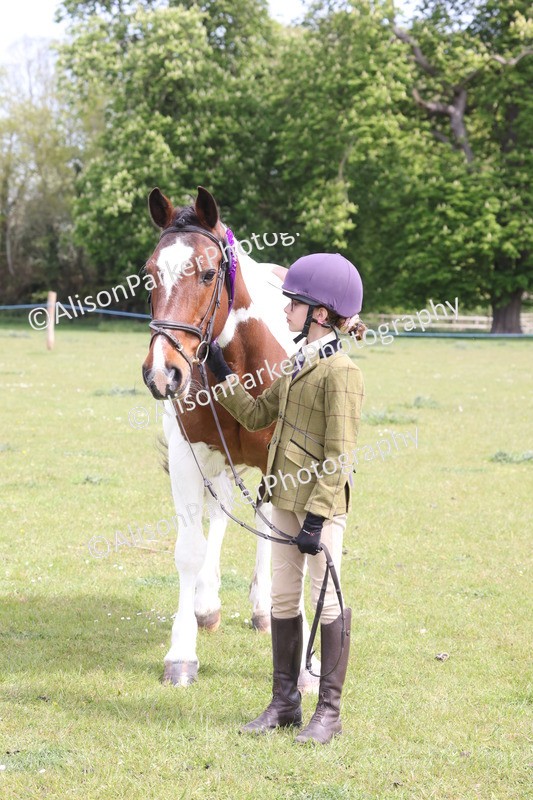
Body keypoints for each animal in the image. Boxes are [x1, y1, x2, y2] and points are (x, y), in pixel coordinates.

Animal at [141, 185, 319, 689]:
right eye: (148, 276)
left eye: (206, 274)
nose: (163, 372)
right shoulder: (189, 455)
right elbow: (189, 549)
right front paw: (181, 653)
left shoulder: (289, 462)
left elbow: (290, 545)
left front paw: (304, 665)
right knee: (220, 513)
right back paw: (207, 604)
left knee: (265, 520)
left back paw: (262, 609)